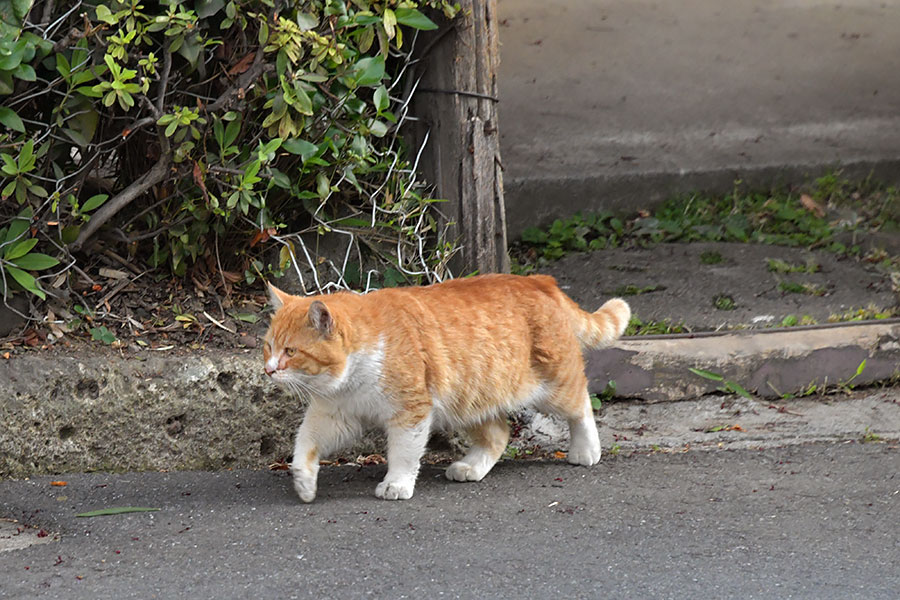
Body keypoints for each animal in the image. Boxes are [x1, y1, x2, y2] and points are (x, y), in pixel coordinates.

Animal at [264, 274, 628, 500]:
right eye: (269, 347)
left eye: (291, 352)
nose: (268, 370)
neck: (349, 378)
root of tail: (539, 279)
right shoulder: (335, 415)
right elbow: (305, 444)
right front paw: (304, 481)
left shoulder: (411, 412)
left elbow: (404, 453)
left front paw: (396, 484)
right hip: (470, 400)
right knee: (498, 434)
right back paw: (471, 467)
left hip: (553, 386)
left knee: (581, 404)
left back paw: (585, 451)